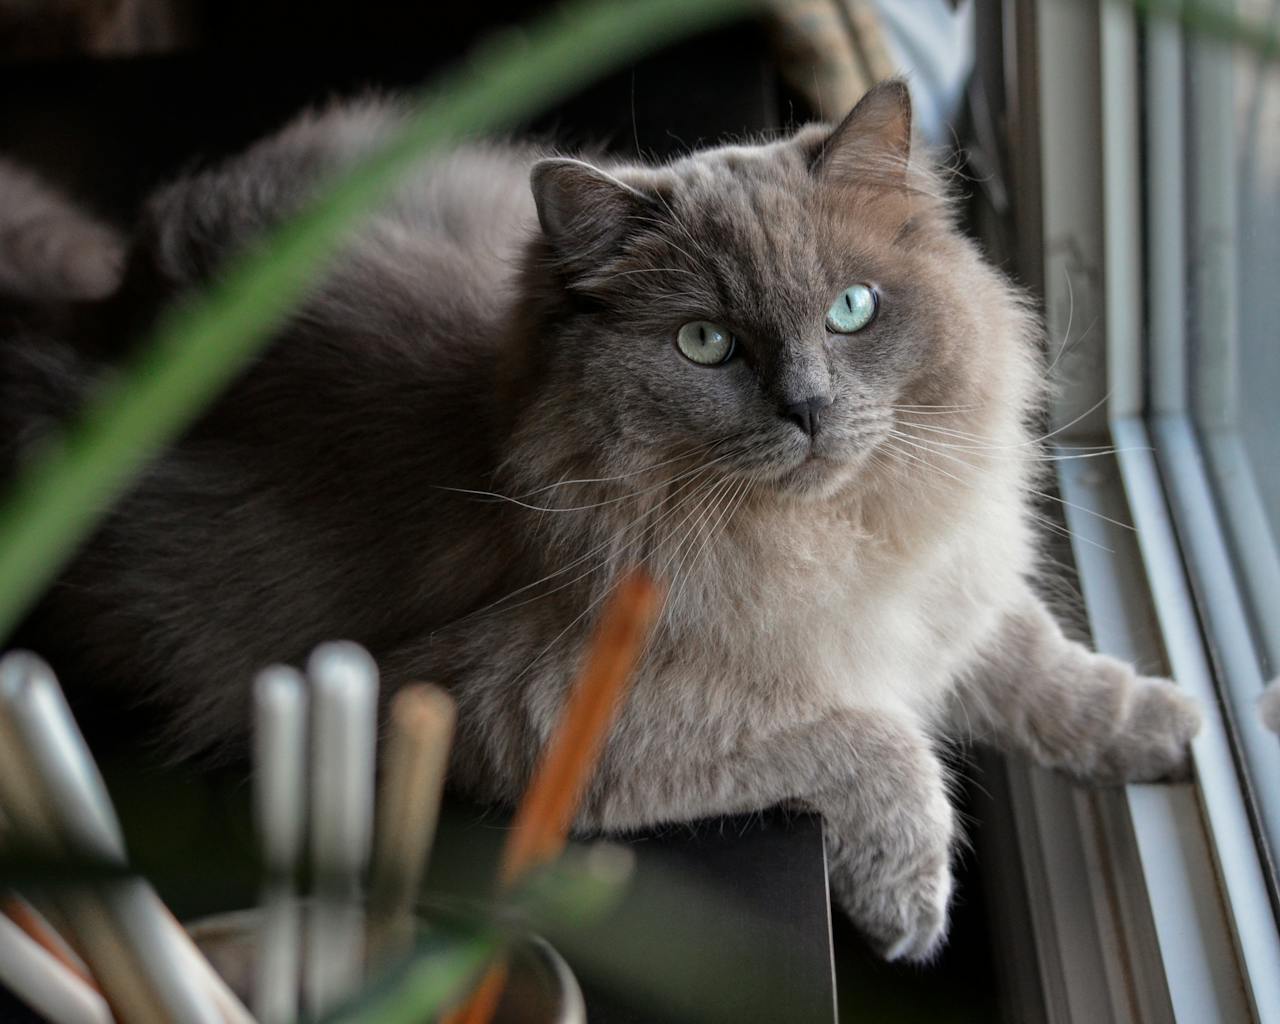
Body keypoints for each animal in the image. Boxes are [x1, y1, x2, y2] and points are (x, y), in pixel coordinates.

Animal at [2, 81, 1198, 962]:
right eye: (706, 344)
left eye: (851, 310)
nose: (808, 409)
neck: (831, 543)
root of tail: (110, 302)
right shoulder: (533, 710)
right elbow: (879, 739)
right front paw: (907, 904)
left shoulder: (946, 588)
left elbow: (1050, 674)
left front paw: (1169, 733)